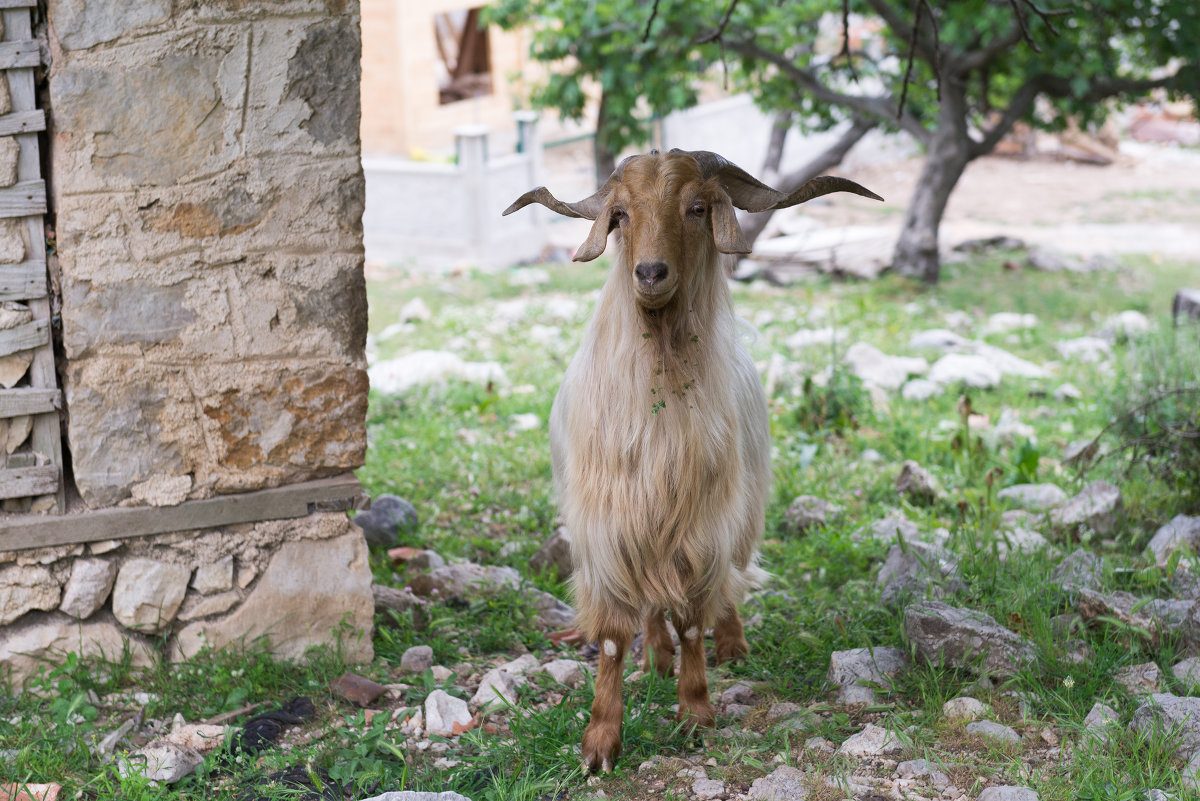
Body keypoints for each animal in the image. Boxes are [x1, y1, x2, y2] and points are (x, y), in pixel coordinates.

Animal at [504, 148, 883, 767]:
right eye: (620, 215)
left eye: (698, 208)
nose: (650, 274)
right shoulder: (611, 532)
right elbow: (615, 636)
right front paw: (600, 742)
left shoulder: (700, 529)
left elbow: (692, 622)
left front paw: (697, 713)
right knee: (653, 609)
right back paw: (655, 657)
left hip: (743, 513)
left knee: (730, 582)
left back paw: (730, 643)